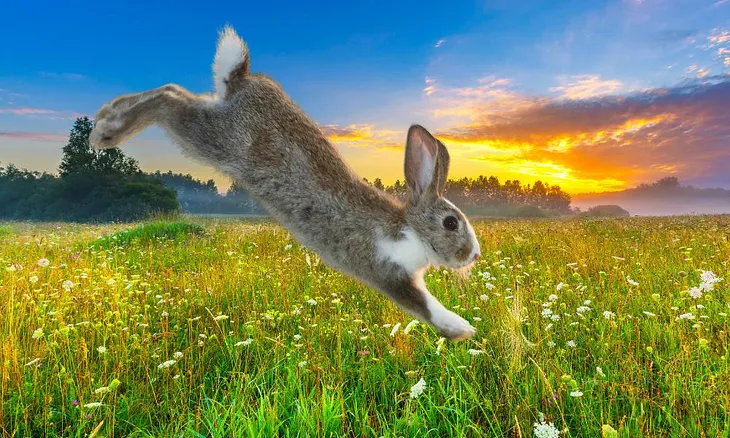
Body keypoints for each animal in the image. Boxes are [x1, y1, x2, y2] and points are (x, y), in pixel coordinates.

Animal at [89, 25, 478, 340]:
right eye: (451, 223)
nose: (474, 255)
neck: (410, 229)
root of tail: (243, 79)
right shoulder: (388, 273)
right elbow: (425, 305)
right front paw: (463, 330)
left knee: (176, 92)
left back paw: (106, 117)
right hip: (216, 139)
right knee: (168, 97)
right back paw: (106, 130)